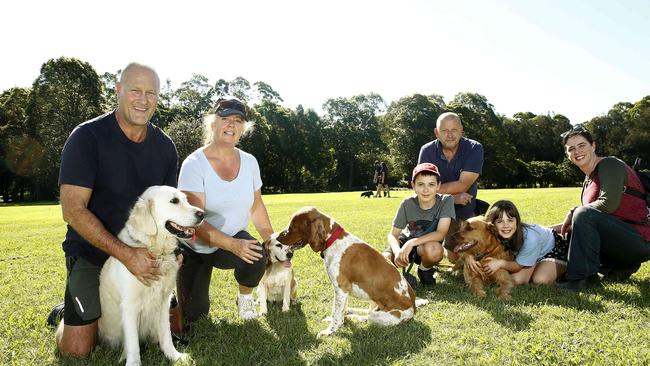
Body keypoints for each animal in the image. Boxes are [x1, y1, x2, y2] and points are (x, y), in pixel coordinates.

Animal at [96, 186, 201, 366]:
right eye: (174, 201)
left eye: (186, 199)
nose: (202, 214)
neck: (157, 251)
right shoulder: (130, 306)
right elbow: (133, 343)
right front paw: (133, 362)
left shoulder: (164, 302)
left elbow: (166, 335)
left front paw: (174, 356)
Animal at [268, 206, 426, 338]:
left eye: (293, 226)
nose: (277, 238)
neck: (333, 240)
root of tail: (413, 308)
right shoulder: (343, 292)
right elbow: (340, 311)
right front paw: (340, 321)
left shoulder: (341, 289)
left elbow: (336, 312)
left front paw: (330, 331)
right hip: (373, 301)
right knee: (367, 312)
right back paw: (350, 312)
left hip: (387, 314)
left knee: (368, 318)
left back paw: (352, 316)